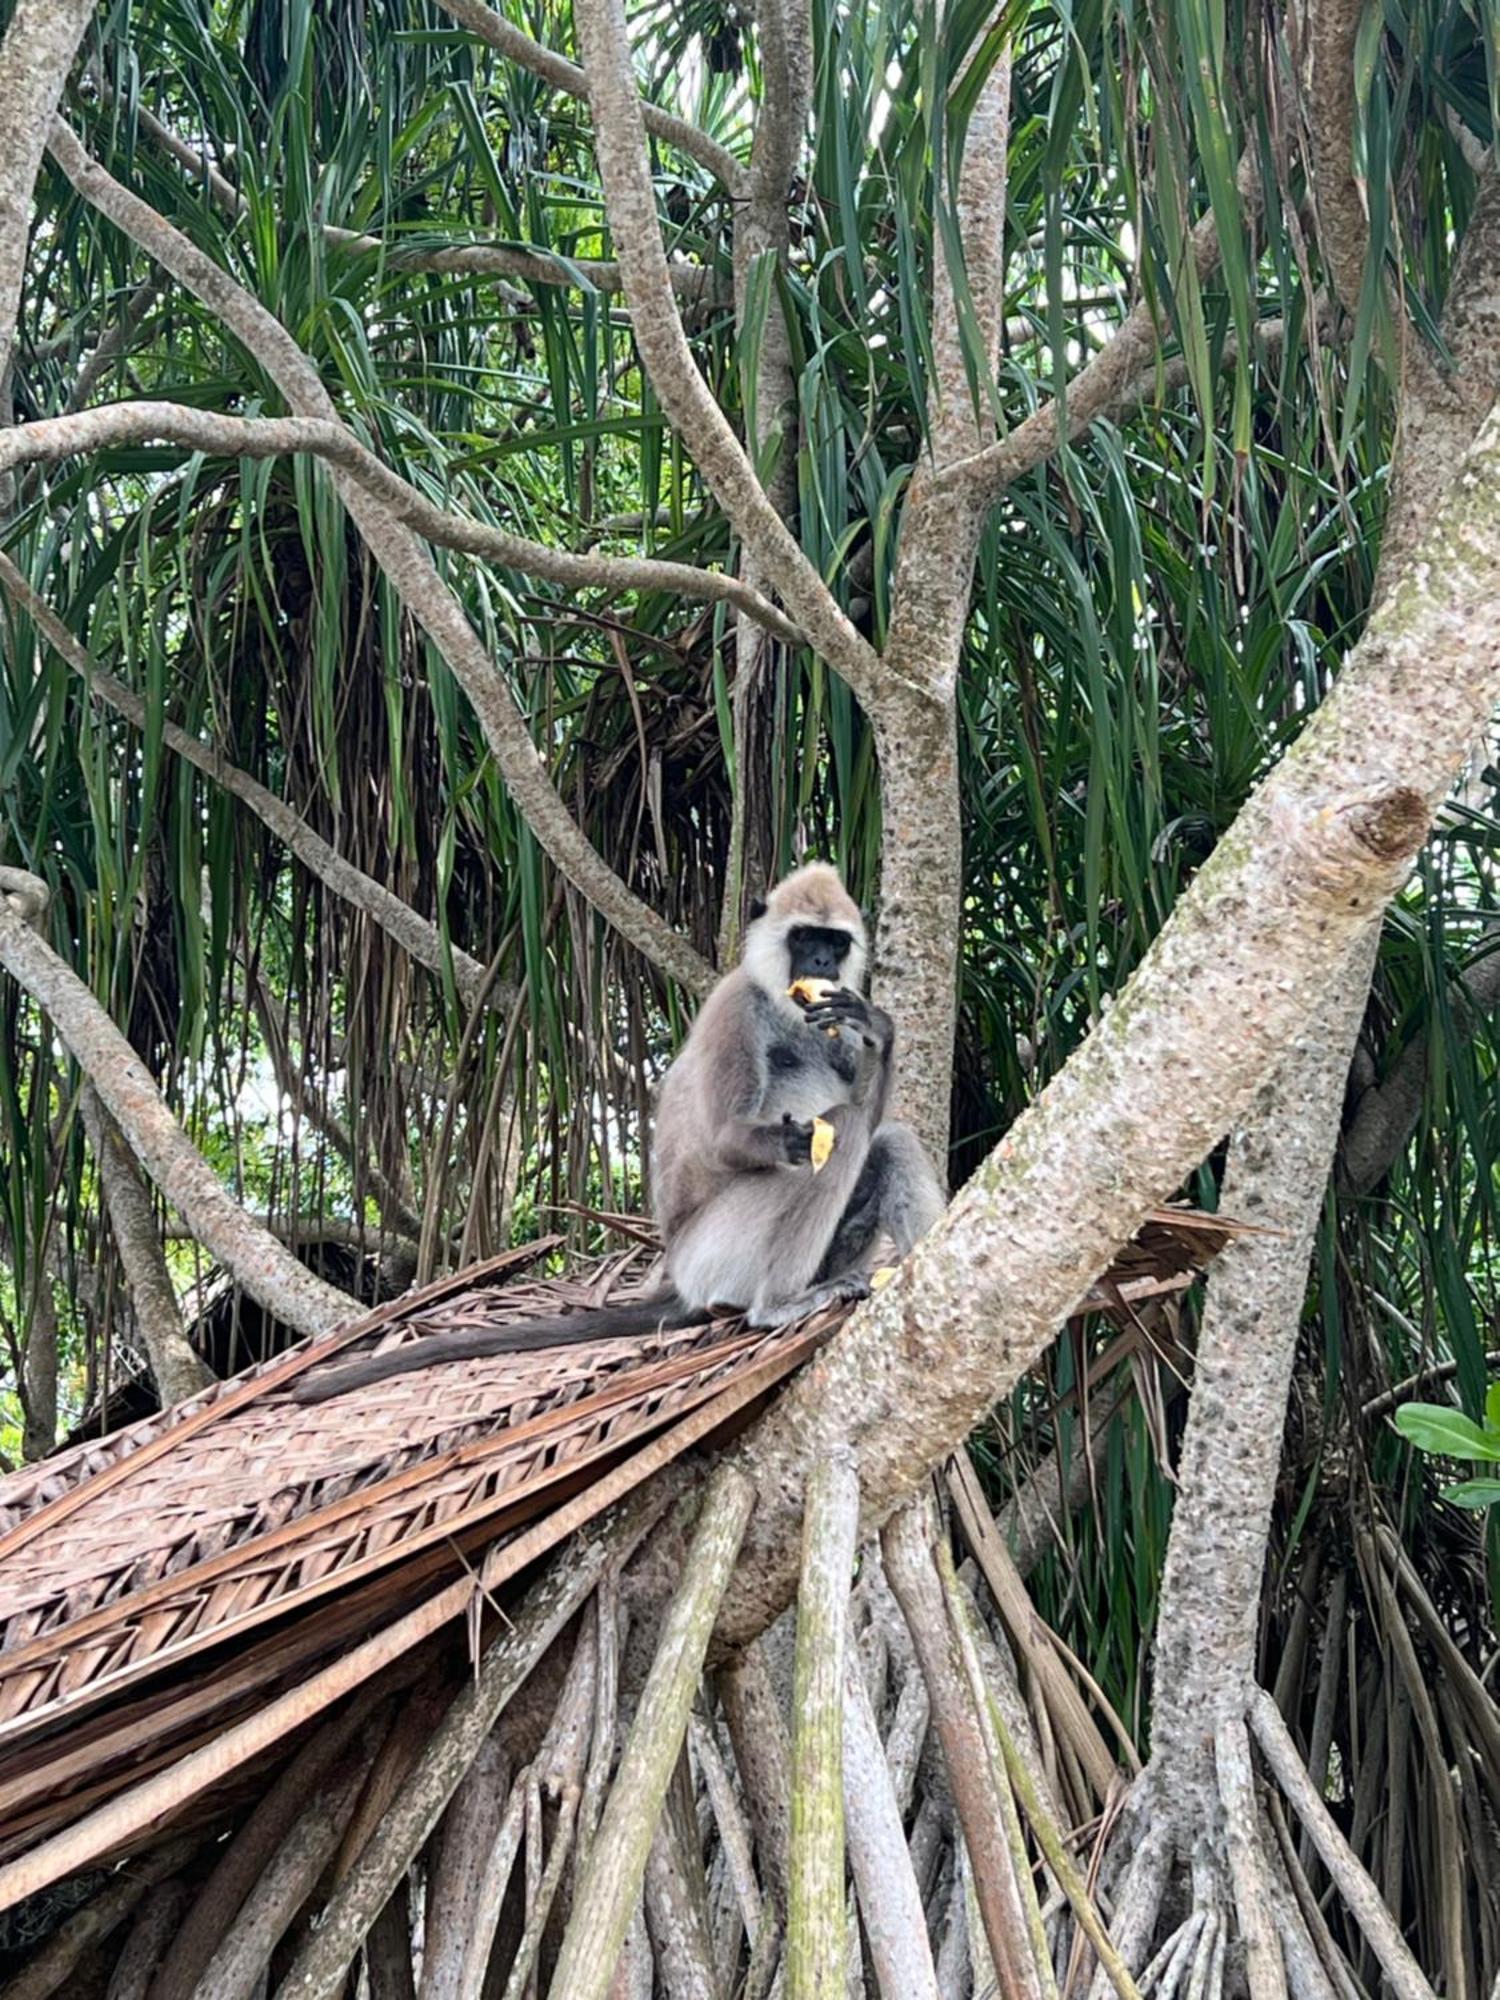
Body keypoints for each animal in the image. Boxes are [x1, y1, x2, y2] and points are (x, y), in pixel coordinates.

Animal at [296, 864, 944, 1408]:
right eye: (805, 938)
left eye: (836, 943)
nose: (824, 964)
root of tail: (681, 1276)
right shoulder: (734, 1006)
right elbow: (731, 1141)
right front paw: (790, 1140)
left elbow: (867, 1088)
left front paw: (880, 1030)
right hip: (717, 1252)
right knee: (843, 1136)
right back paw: (777, 1306)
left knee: (885, 1139)